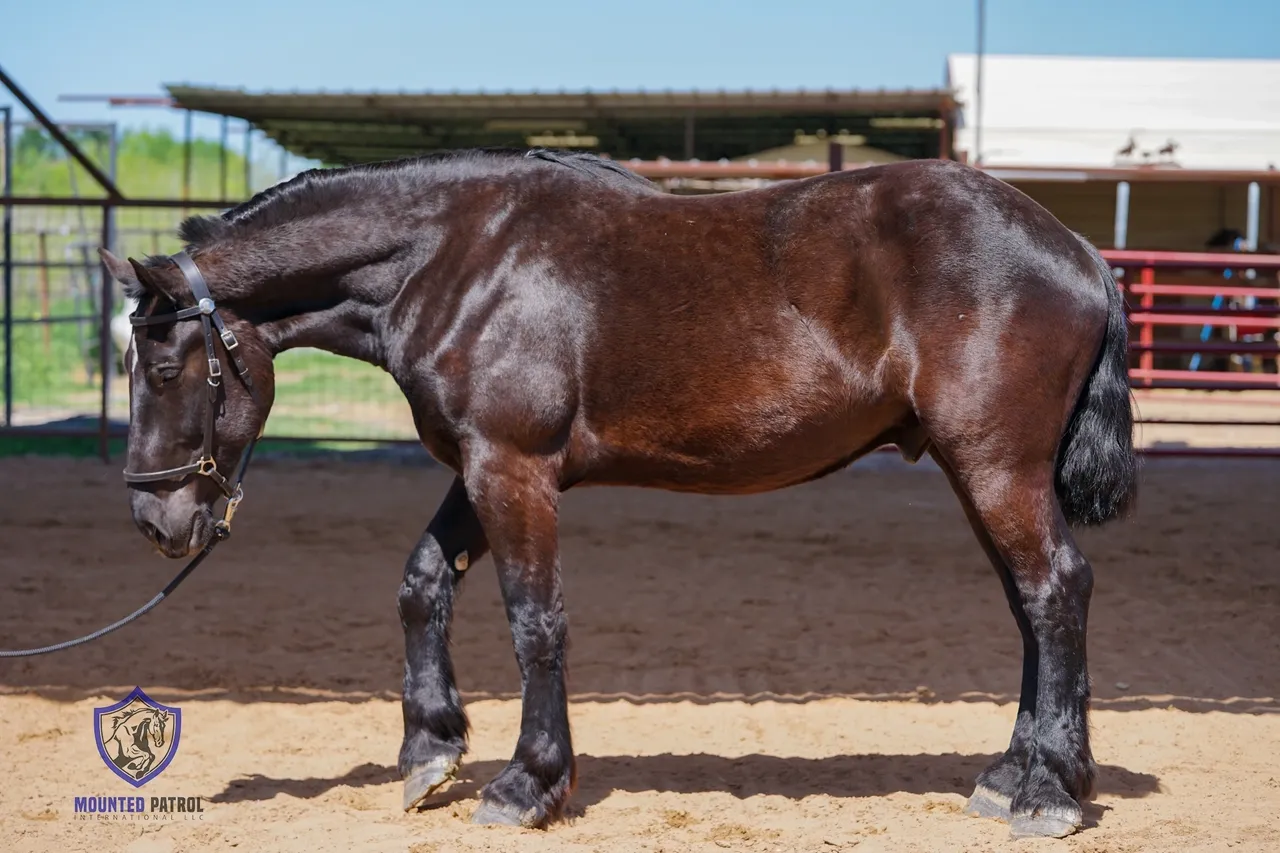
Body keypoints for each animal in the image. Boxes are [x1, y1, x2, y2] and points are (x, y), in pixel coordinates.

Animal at [100, 148, 1138, 839]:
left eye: (163, 367)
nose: (154, 518)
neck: (457, 256)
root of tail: (1078, 250)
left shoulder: (512, 468)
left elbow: (534, 620)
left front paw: (527, 783)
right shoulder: (479, 467)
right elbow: (422, 583)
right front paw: (430, 748)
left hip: (994, 464)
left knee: (1056, 590)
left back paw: (1050, 791)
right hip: (983, 471)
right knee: (1031, 605)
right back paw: (1014, 774)